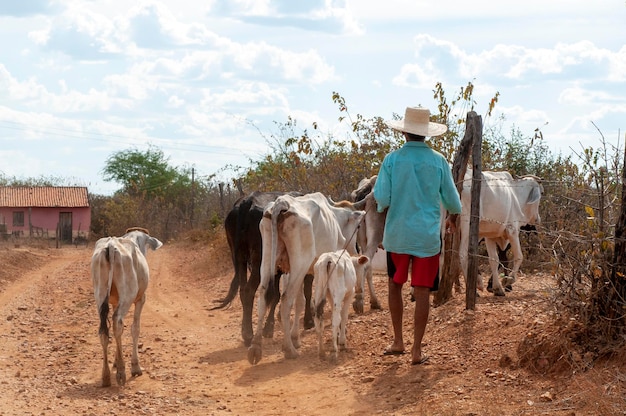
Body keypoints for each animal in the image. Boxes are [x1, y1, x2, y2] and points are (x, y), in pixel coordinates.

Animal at [91, 229, 163, 386]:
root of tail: (111, 245)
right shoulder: (141, 299)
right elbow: (135, 328)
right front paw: (135, 366)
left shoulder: (113, 302)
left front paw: (116, 361)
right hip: (128, 296)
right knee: (118, 323)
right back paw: (121, 372)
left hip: (100, 295)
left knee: (104, 330)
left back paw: (106, 376)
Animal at [246, 192, 364, 364]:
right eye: (358, 226)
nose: (356, 248)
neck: (335, 218)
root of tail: (281, 204)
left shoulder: (295, 272)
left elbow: (300, 302)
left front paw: (295, 337)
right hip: (299, 263)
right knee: (286, 300)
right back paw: (289, 350)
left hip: (269, 260)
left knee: (263, 295)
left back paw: (255, 347)